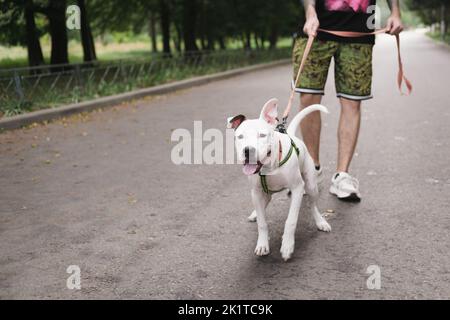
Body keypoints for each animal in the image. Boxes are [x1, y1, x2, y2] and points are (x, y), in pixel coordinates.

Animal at [229, 99, 330, 262]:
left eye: (262, 135)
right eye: (240, 137)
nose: (248, 150)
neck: (269, 166)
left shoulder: (297, 188)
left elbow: (291, 220)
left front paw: (287, 246)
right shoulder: (256, 193)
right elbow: (262, 223)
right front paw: (263, 244)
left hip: (310, 185)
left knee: (313, 205)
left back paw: (320, 221)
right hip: (264, 193)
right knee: (264, 204)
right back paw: (255, 213)